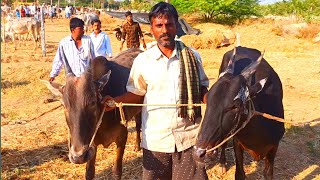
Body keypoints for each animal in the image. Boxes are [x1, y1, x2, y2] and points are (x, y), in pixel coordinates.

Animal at [45, 48, 144, 180]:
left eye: (92, 102)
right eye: (63, 105)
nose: (78, 156)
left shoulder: (122, 137)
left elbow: (117, 171)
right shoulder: (92, 146)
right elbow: (89, 172)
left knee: (138, 125)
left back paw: (137, 145)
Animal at [192, 45, 284, 179]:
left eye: (235, 106)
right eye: (207, 100)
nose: (199, 153)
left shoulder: (274, 147)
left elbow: (268, 174)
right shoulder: (237, 143)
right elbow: (239, 173)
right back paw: (222, 163)